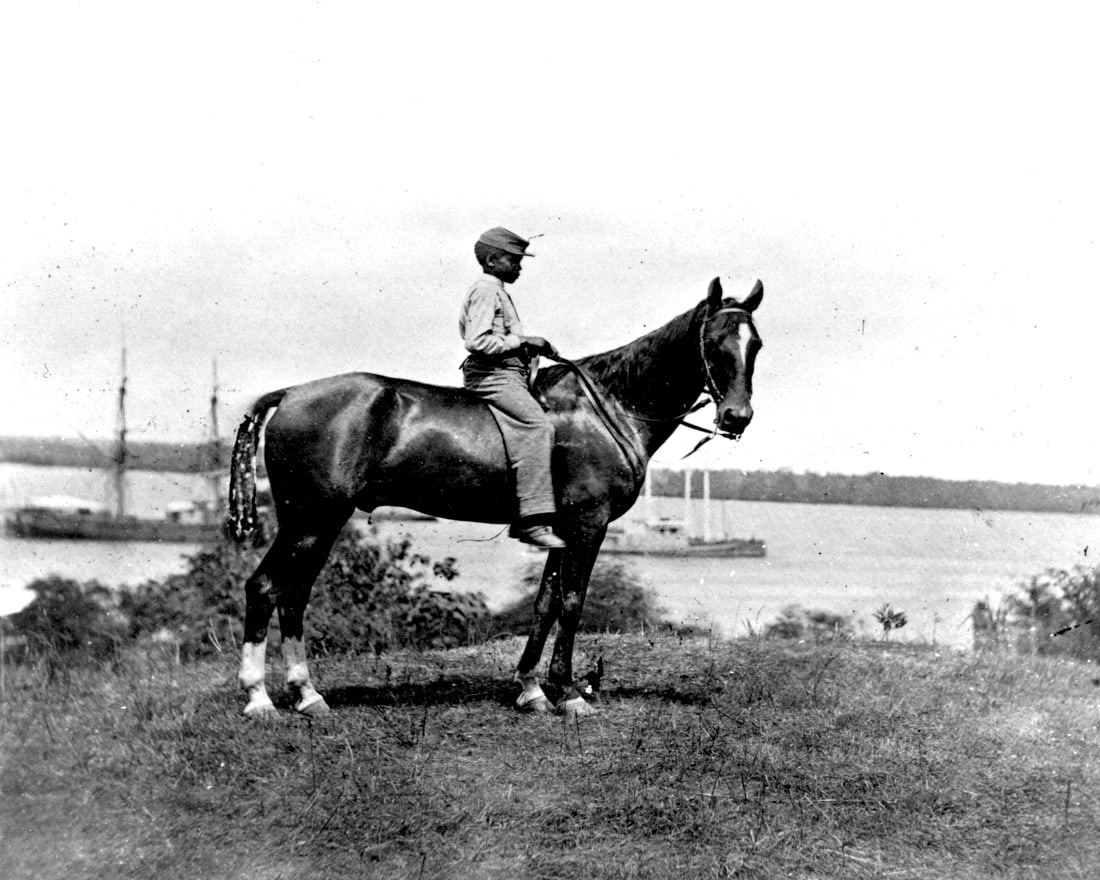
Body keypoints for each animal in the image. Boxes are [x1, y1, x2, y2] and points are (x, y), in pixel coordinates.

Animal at [228, 276, 763, 717]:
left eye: (754, 344)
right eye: (713, 342)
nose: (737, 417)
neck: (606, 407)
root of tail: (290, 393)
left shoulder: (559, 531)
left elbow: (545, 603)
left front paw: (531, 688)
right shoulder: (588, 526)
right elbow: (572, 602)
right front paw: (568, 693)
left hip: (321, 523)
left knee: (293, 594)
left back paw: (306, 695)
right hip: (310, 519)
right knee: (265, 588)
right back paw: (258, 698)